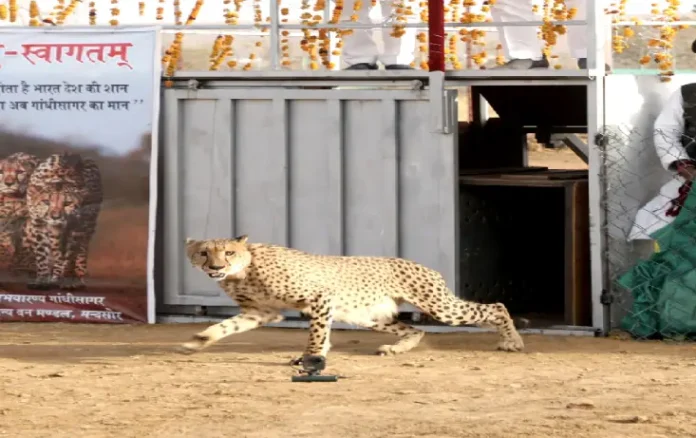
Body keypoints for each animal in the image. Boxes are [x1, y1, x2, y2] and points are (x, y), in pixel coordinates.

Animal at [24, 152, 103, 290]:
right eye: (46, 202)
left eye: (67, 203)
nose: (55, 217)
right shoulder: (38, 224)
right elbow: (42, 254)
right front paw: (42, 280)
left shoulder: (77, 227)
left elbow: (70, 255)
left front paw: (68, 280)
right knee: (57, 250)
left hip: (88, 223)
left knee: (82, 250)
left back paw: (77, 276)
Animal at [179, 235, 525, 365]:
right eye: (203, 253)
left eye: (228, 252)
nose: (215, 267)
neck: (244, 270)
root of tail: (423, 266)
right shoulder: (260, 313)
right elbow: (224, 327)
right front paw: (196, 341)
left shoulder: (320, 297)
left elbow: (318, 333)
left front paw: (311, 357)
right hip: (369, 315)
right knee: (415, 329)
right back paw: (395, 349)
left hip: (441, 307)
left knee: (495, 307)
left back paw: (512, 341)